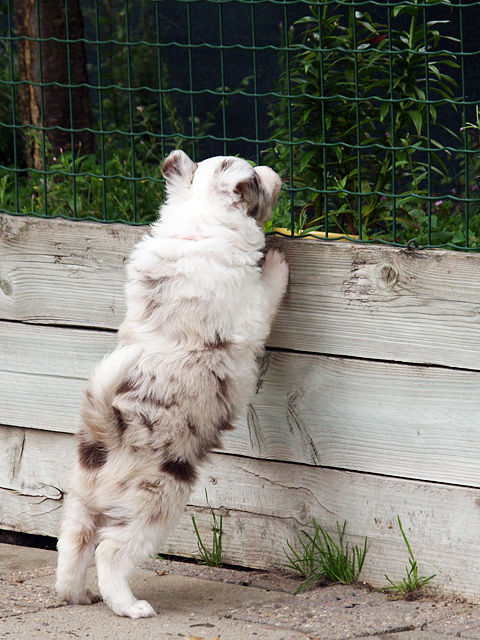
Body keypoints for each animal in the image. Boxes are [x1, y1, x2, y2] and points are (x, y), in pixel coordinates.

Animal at [55, 150, 289, 618]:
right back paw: (130, 606)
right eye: (255, 180)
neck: (198, 218)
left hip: (83, 496)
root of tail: (109, 429)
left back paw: (75, 594)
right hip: (158, 501)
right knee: (110, 550)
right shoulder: (252, 309)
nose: (274, 172)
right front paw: (277, 261)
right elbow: (269, 289)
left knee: (75, 539)